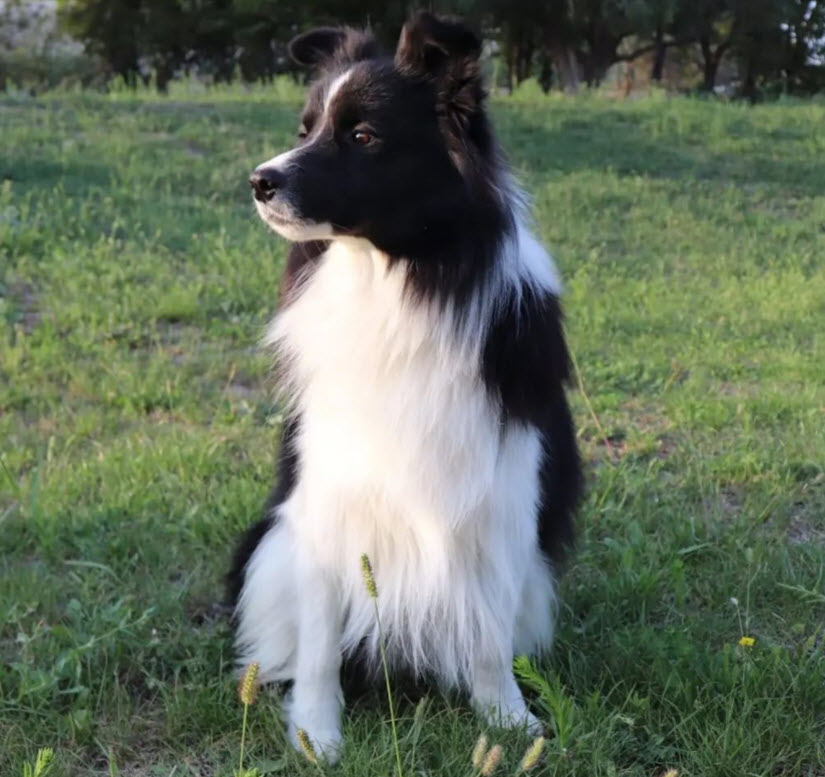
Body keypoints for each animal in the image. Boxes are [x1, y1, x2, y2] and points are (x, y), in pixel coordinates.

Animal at [229, 12, 584, 760]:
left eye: (362, 136)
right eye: (304, 128)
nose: (259, 180)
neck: (395, 281)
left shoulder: (499, 493)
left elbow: (487, 633)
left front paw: (508, 723)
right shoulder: (326, 498)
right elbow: (320, 639)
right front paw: (316, 731)